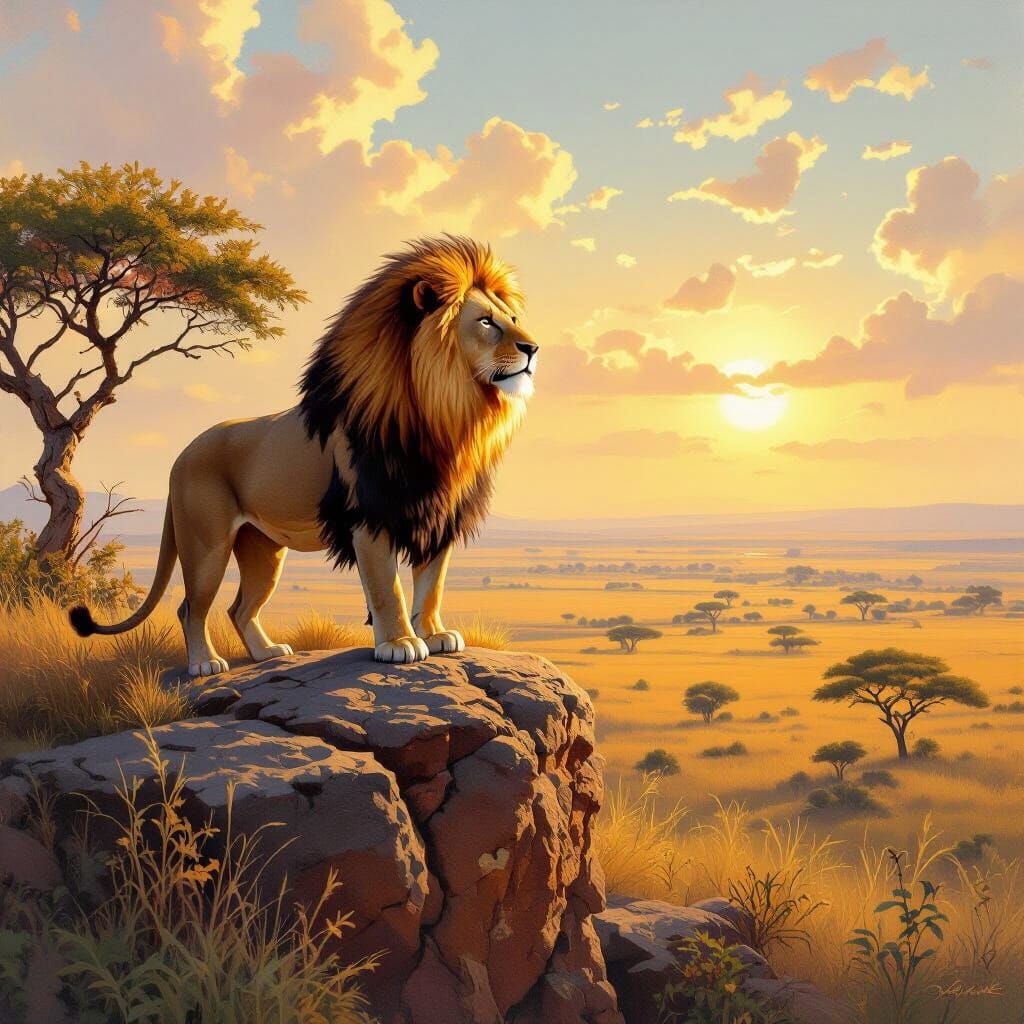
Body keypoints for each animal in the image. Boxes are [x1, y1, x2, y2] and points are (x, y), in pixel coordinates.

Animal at [70, 236, 538, 675]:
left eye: (512, 319)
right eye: (486, 322)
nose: (533, 349)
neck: (447, 416)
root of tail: (182, 454)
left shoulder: (437, 518)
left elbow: (432, 585)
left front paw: (436, 635)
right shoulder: (370, 519)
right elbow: (388, 589)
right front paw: (399, 643)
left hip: (261, 549)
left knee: (239, 608)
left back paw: (267, 653)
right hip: (207, 546)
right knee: (192, 607)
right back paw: (205, 664)